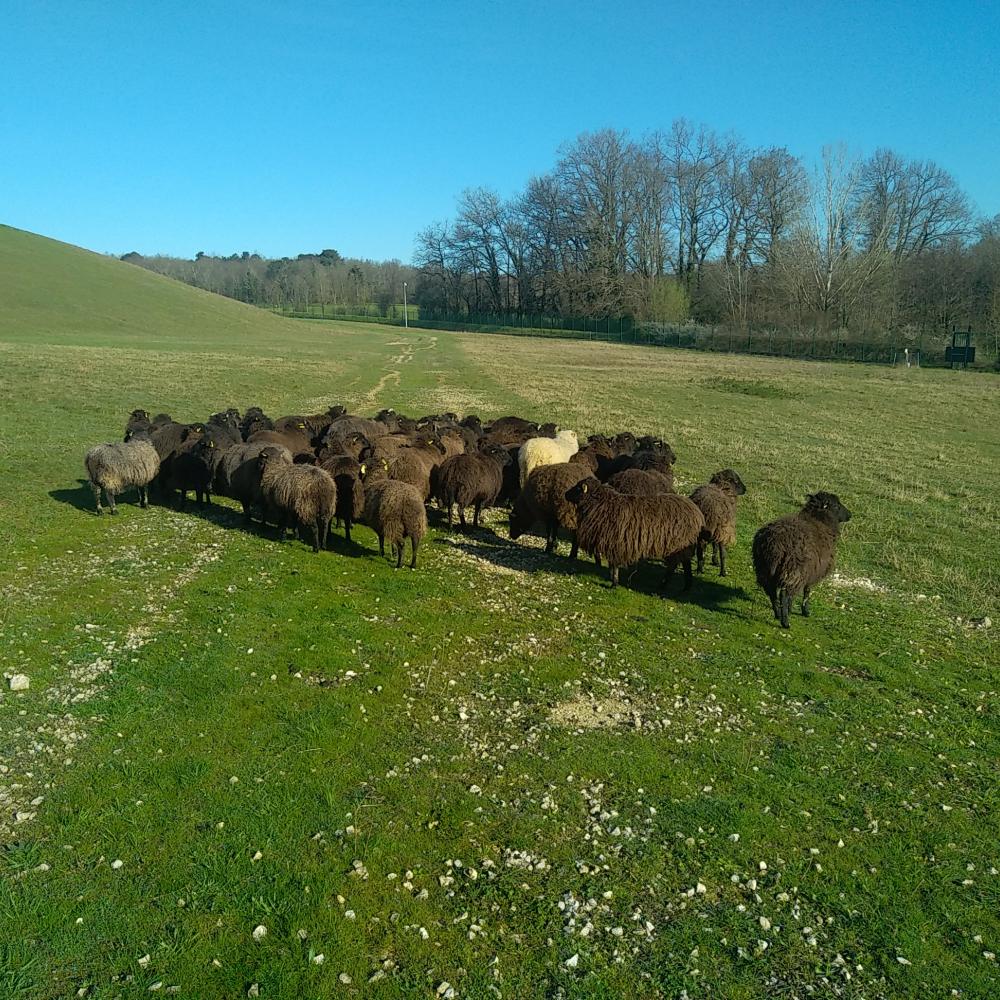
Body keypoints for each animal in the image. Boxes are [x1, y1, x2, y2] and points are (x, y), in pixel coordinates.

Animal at [752, 490, 852, 628]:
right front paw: (805, 611)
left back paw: (778, 614)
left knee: (772, 592)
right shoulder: (811, 571)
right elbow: (807, 591)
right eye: (837, 506)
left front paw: (790, 609)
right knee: (784, 593)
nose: (850, 515)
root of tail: (774, 544)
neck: (820, 521)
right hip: (793, 568)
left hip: (764, 569)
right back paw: (785, 622)